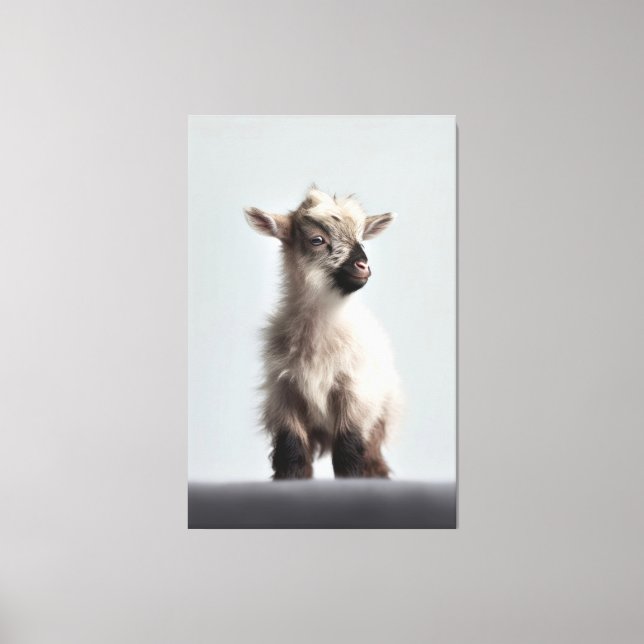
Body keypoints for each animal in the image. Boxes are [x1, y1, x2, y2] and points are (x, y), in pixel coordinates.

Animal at [244, 187, 402, 479]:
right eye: (317, 239)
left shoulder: (353, 393)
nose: (363, 266)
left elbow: (348, 451)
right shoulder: (284, 395)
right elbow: (291, 452)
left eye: (362, 239)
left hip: (380, 414)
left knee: (374, 459)